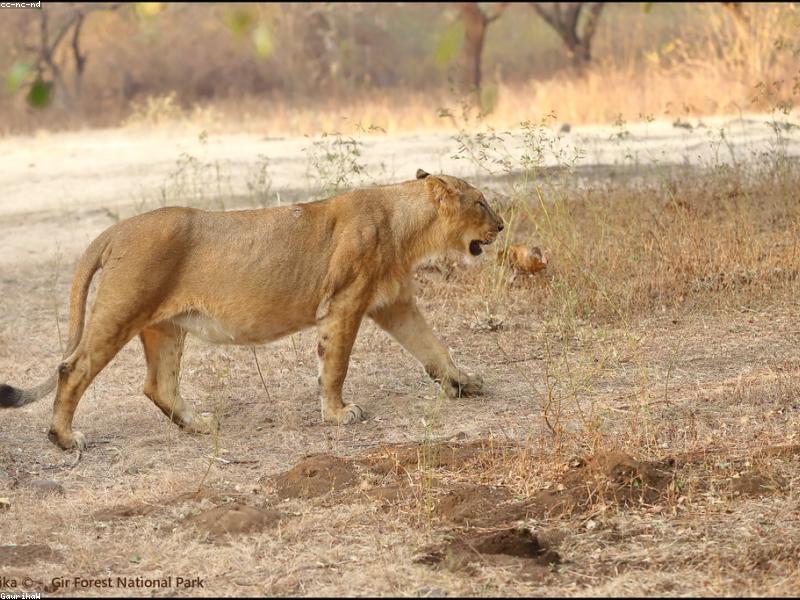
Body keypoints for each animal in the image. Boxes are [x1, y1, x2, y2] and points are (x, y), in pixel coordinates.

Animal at [0, 169, 504, 451]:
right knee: (73, 368)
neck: (408, 228)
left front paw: (464, 382)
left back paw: (199, 426)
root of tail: (115, 230)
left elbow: (434, 347)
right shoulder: (344, 303)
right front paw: (337, 414)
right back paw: (64, 440)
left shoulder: (394, 304)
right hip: (121, 311)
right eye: (481, 201)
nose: (501, 226)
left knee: (158, 384)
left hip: (164, 326)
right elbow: (336, 365)